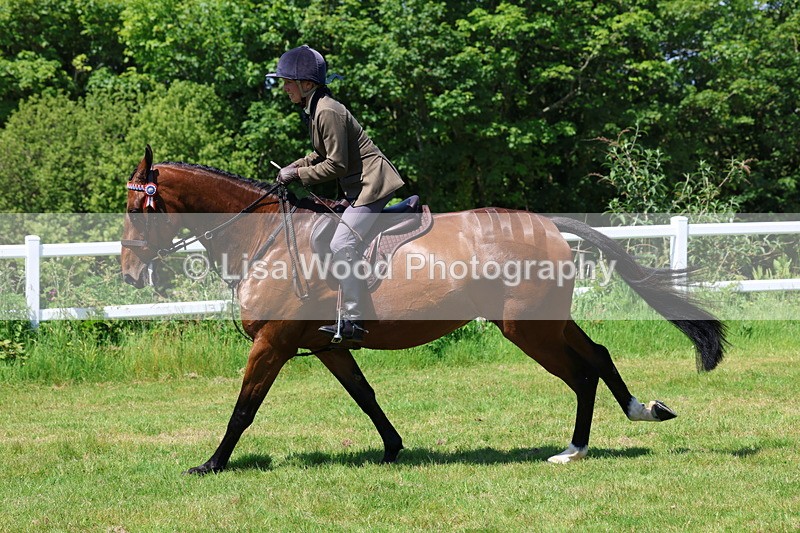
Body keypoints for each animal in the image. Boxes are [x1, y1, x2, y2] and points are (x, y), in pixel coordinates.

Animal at [121, 146, 725, 474]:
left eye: (137, 207)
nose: (128, 273)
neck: (264, 237)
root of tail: (547, 223)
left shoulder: (274, 342)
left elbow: (244, 408)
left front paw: (212, 463)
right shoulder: (323, 343)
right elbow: (364, 395)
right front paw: (392, 447)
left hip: (527, 329)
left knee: (580, 372)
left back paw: (575, 448)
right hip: (547, 321)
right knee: (596, 356)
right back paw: (636, 415)